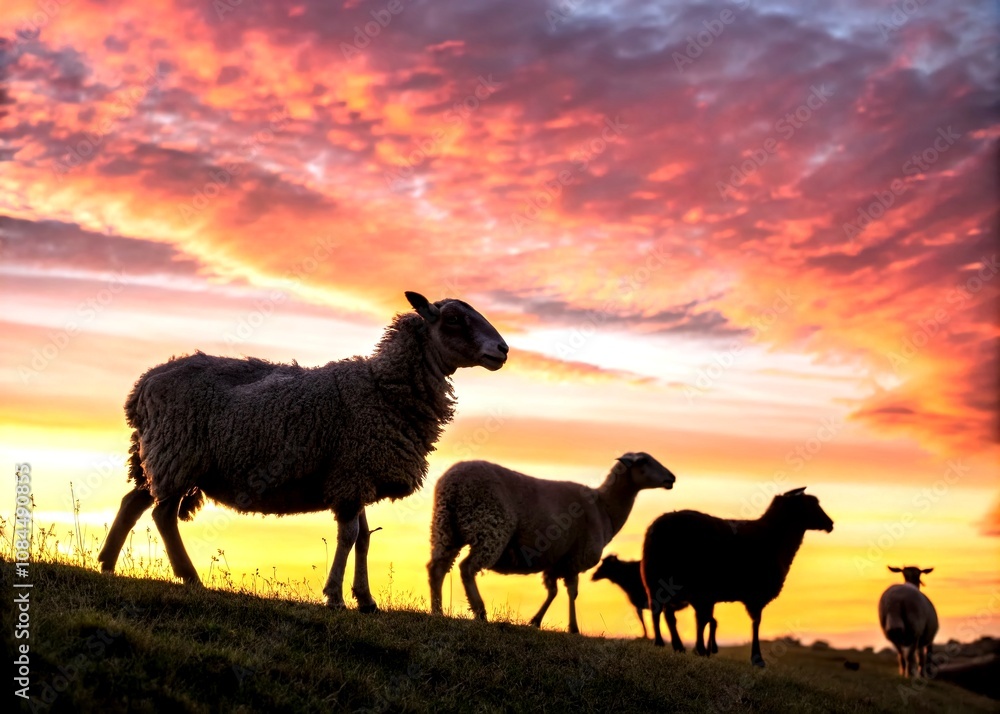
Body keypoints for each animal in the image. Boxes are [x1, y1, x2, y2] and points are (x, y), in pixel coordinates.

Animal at [96, 291, 508, 612]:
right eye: (454, 319)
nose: (503, 349)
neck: (382, 388)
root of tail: (143, 385)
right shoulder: (352, 472)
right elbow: (349, 536)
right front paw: (335, 596)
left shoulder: (357, 474)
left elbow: (364, 538)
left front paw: (365, 599)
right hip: (178, 453)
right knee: (163, 514)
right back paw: (189, 576)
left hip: (162, 455)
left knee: (133, 502)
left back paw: (107, 564)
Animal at [428, 452, 676, 633]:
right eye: (644, 461)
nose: (671, 478)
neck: (604, 508)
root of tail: (453, 483)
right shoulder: (574, 559)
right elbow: (572, 593)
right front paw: (573, 628)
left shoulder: (556, 561)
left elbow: (553, 592)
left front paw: (535, 621)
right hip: (489, 526)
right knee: (467, 568)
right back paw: (480, 613)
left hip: (446, 528)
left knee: (437, 568)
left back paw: (437, 611)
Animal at [641, 487, 833, 667]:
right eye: (811, 504)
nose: (830, 524)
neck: (774, 537)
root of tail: (656, 526)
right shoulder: (750, 596)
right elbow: (754, 623)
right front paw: (756, 659)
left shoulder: (706, 596)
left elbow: (704, 620)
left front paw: (702, 650)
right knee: (660, 611)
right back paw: (661, 643)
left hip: (659, 580)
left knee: (664, 612)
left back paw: (675, 645)